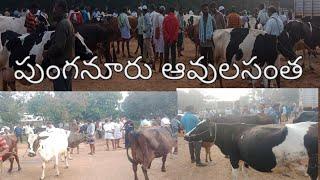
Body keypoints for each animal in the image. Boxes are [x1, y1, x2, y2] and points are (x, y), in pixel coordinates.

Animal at [185, 120, 318, 180]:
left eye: (200, 127)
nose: (186, 135)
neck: (231, 133)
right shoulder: (245, 159)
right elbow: (245, 173)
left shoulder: (234, 158)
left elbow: (235, 175)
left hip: (312, 165)